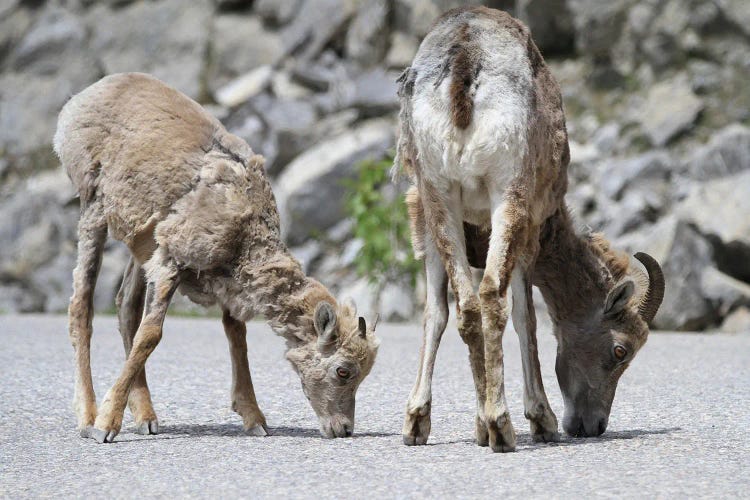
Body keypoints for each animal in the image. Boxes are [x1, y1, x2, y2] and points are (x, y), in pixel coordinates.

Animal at [53, 72, 378, 444]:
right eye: (343, 371)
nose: (344, 430)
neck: (244, 224)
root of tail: (82, 99)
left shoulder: (219, 283)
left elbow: (236, 336)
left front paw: (254, 420)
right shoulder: (170, 263)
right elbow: (151, 336)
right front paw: (106, 426)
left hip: (141, 245)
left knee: (125, 309)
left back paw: (146, 418)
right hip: (94, 213)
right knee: (82, 307)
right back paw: (88, 418)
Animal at [396, 6, 668, 454]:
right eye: (620, 351)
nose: (592, 425)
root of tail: (466, 61)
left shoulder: (432, 225)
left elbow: (436, 313)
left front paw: (429, 422)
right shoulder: (530, 234)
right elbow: (527, 318)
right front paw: (539, 421)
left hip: (439, 193)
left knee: (467, 306)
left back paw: (447, 425)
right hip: (509, 194)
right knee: (492, 296)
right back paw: (503, 428)